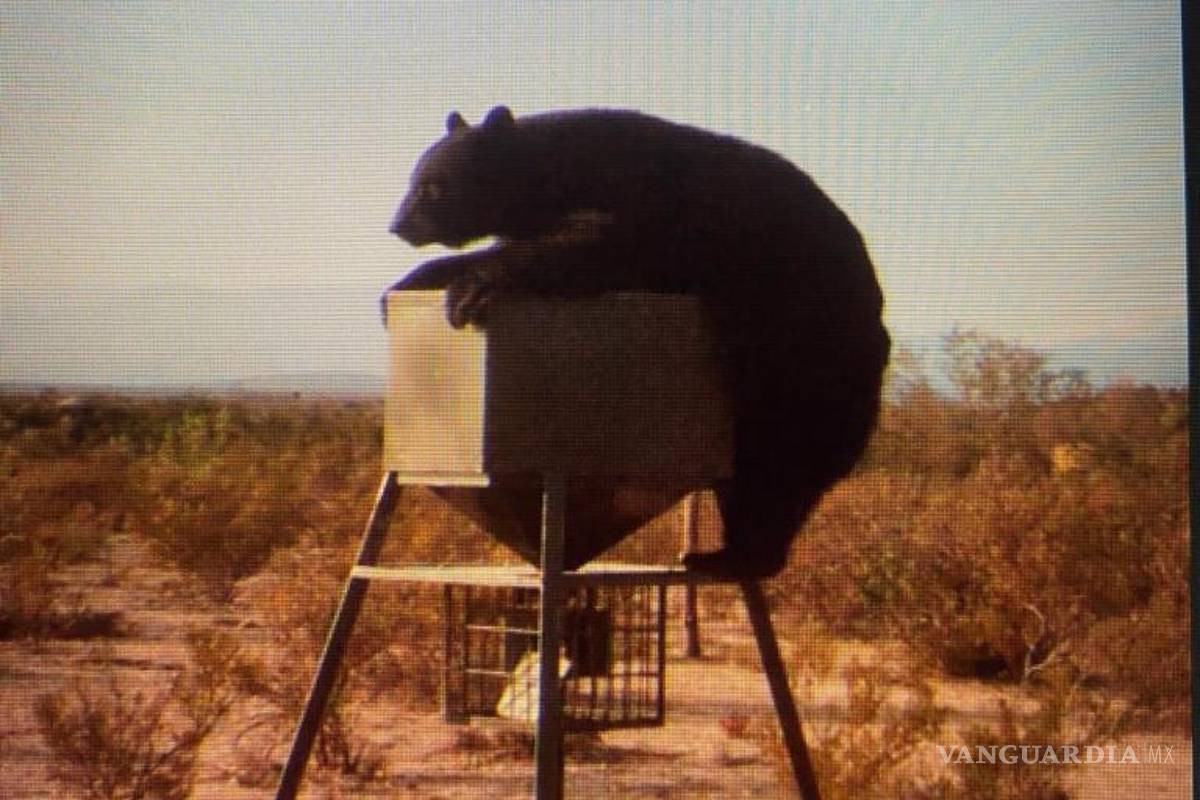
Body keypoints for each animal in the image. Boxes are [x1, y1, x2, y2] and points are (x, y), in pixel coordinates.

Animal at [384, 106, 890, 579]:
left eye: (431, 187)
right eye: (413, 180)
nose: (398, 225)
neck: (554, 174)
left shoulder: (638, 204)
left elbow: (593, 245)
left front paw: (471, 291)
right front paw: (407, 286)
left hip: (807, 359)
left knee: (778, 472)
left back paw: (731, 558)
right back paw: (721, 556)